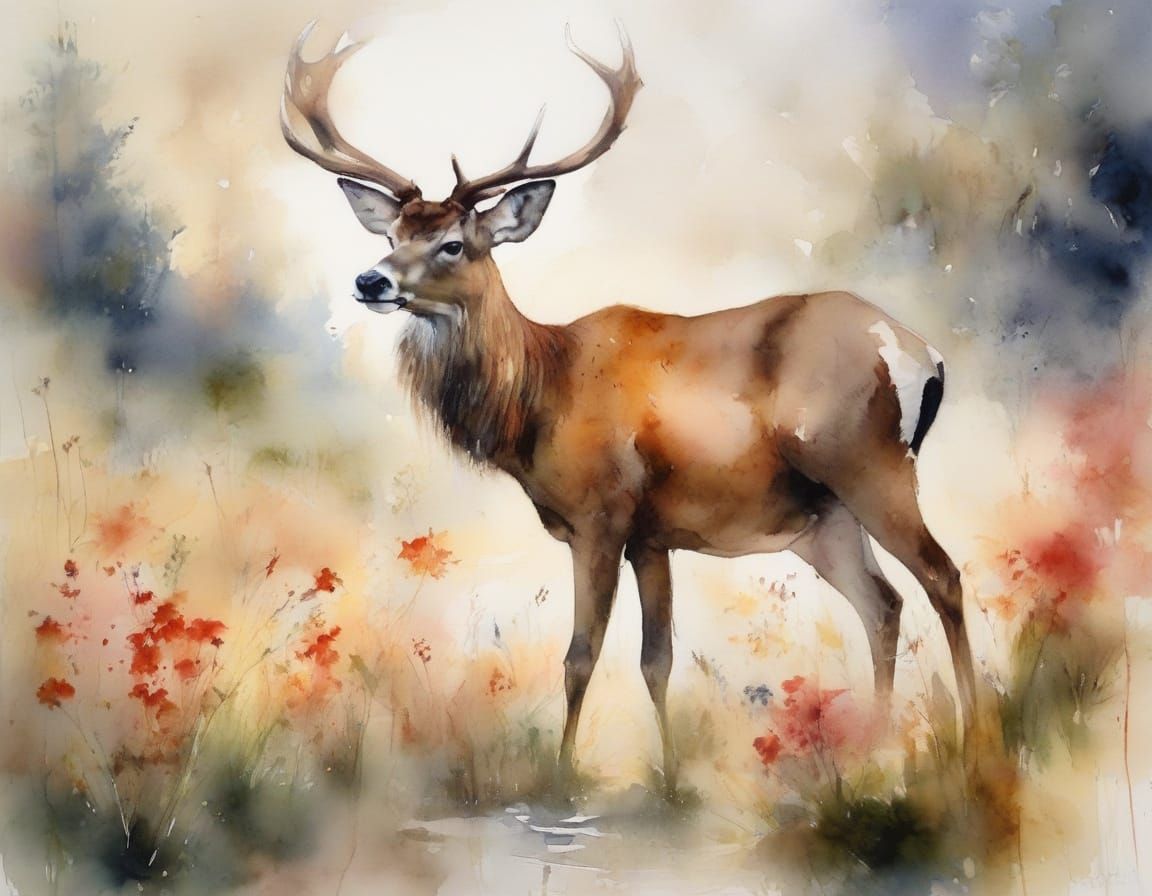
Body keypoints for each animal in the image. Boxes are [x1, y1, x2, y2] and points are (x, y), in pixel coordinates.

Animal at [281, 22, 978, 793]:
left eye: (453, 244)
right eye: (391, 236)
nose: (370, 280)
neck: (539, 400)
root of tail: (924, 353)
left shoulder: (601, 512)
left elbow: (581, 654)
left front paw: (562, 773)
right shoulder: (653, 532)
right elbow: (657, 659)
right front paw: (669, 778)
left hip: (871, 463)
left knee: (943, 577)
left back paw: (977, 735)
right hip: (822, 516)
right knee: (883, 604)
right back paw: (874, 742)